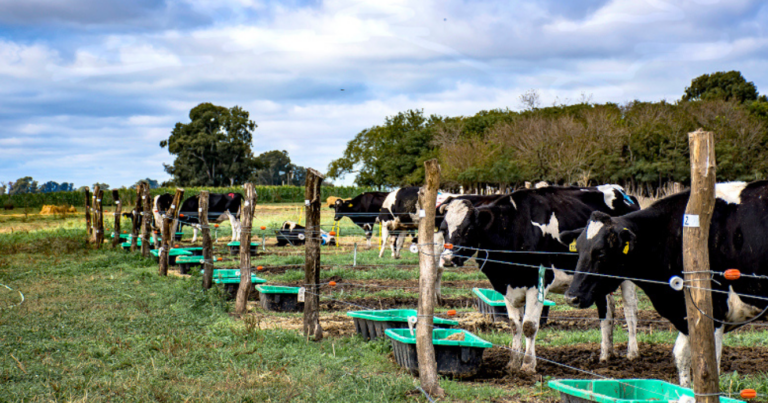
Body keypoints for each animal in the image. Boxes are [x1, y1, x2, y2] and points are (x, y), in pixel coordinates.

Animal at [438, 185, 640, 372]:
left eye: (468, 229)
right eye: (443, 229)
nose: (447, 259)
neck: (512, 227)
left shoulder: (537, 283)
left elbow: (529, 325)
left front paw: (527, 366)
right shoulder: (506, 285)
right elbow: (514, 325)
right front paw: (513, 363)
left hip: (627, 276)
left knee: (630, 309)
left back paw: (632, 353)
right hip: (596, 280)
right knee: (606, 310)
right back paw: (606, 355)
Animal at [560, 181, 768, 386]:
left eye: (601, 253)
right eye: (578, 249)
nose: (572, 297)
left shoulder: (712, 314)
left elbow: (708, 367)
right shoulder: (684, 315)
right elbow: (682, 356)